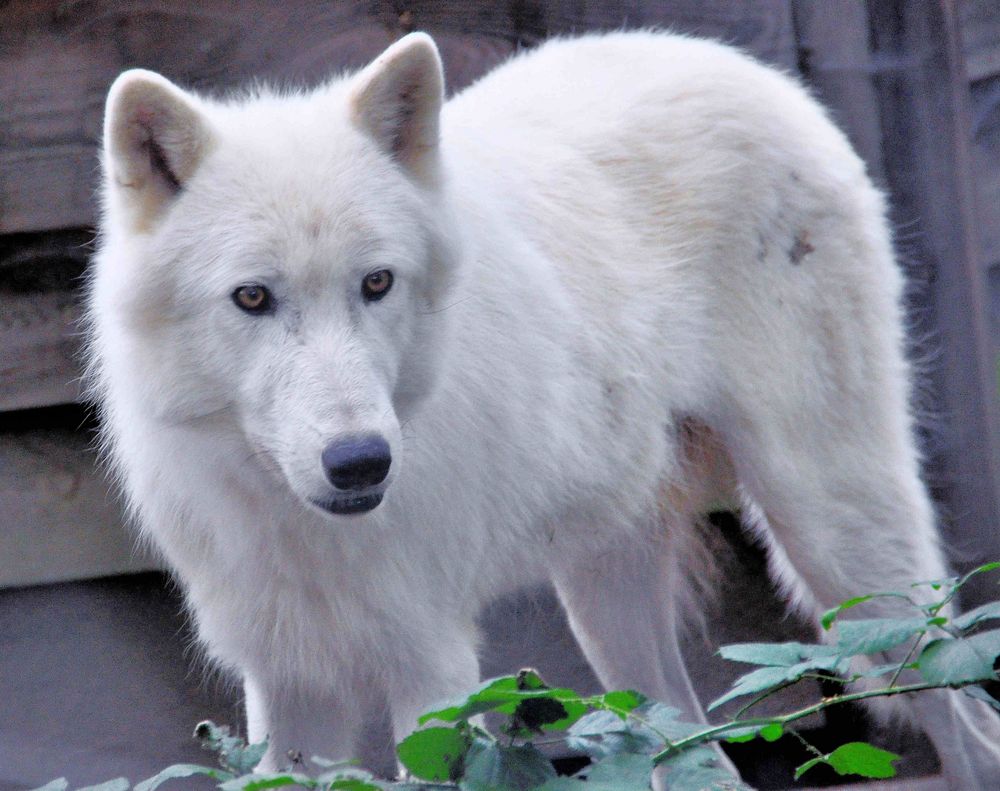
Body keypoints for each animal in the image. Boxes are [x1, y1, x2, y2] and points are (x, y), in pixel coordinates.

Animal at [84, 29, 1000, 784]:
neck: (296, 522)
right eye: (252, 297)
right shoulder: (287, 681)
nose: (361, 460)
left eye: (376, 283)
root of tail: (757, 70)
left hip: (843, 552)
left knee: (970, 729)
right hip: (613, 620)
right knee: (701, 755)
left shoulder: (434, 666)